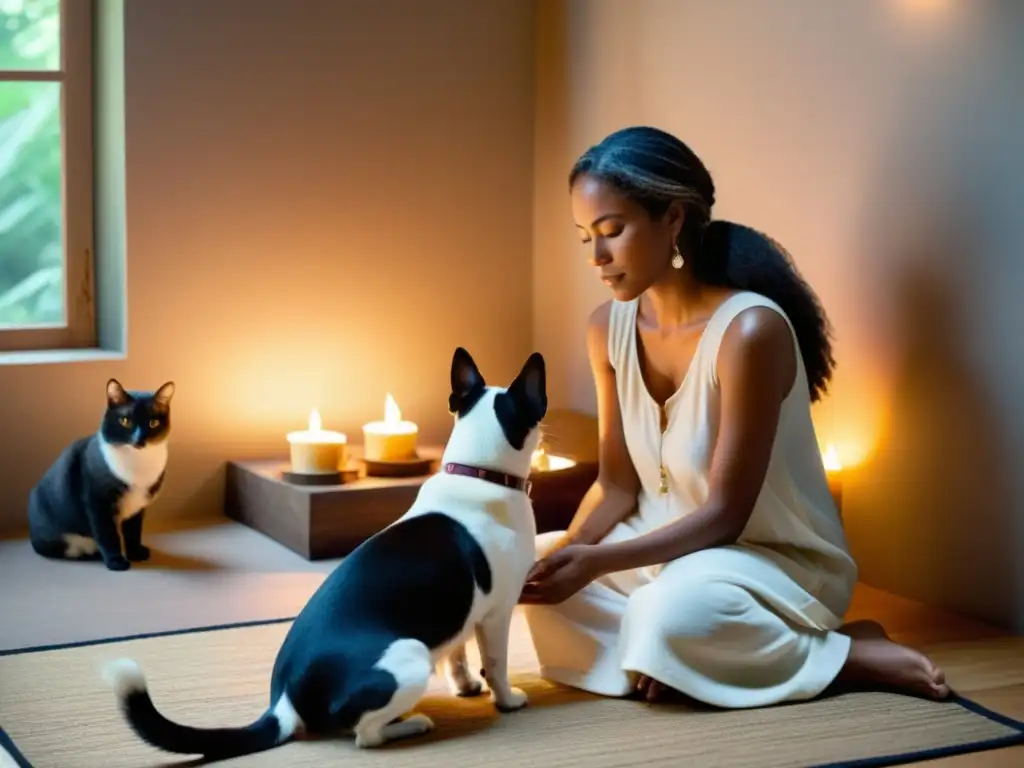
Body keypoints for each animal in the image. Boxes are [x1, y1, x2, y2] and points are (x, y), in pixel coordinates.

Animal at [25, 378, 175, 573]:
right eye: (125, 421)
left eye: (153, 423)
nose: (139, 440)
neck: (137, 463)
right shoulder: (97, 502)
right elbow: (107, 534)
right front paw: (116, 561)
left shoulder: (138, 507)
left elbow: (134, 532)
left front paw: (135, 553)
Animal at [100, 348, 548, 765]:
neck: (477, 472)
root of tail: (284, 703)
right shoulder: (498, 612)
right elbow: (497, 662)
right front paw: (506, 699)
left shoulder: (467, 609)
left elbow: (459, 653)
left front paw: (467, 687)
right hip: (410, 659)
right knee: (364, 735)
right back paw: (412, 724)